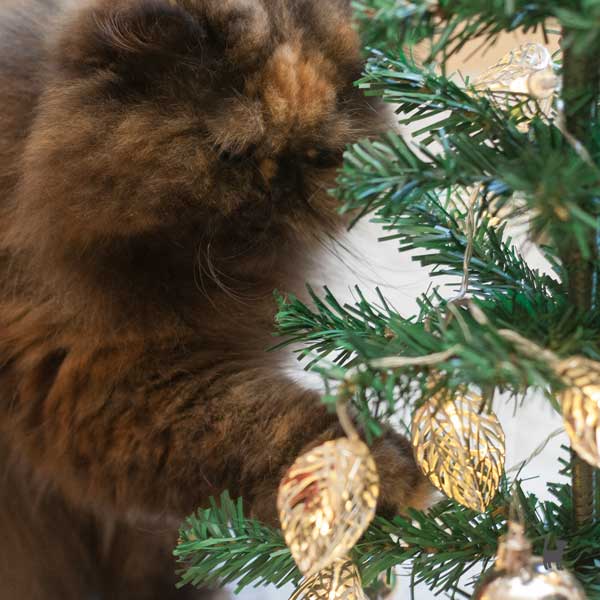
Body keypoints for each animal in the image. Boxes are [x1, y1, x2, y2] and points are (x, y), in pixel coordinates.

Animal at [0, 0, 434, 596]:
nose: (278, 187)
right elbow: (272, 426)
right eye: (231, 152)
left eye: (317, 156)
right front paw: (371, 476)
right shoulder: (101, 375)